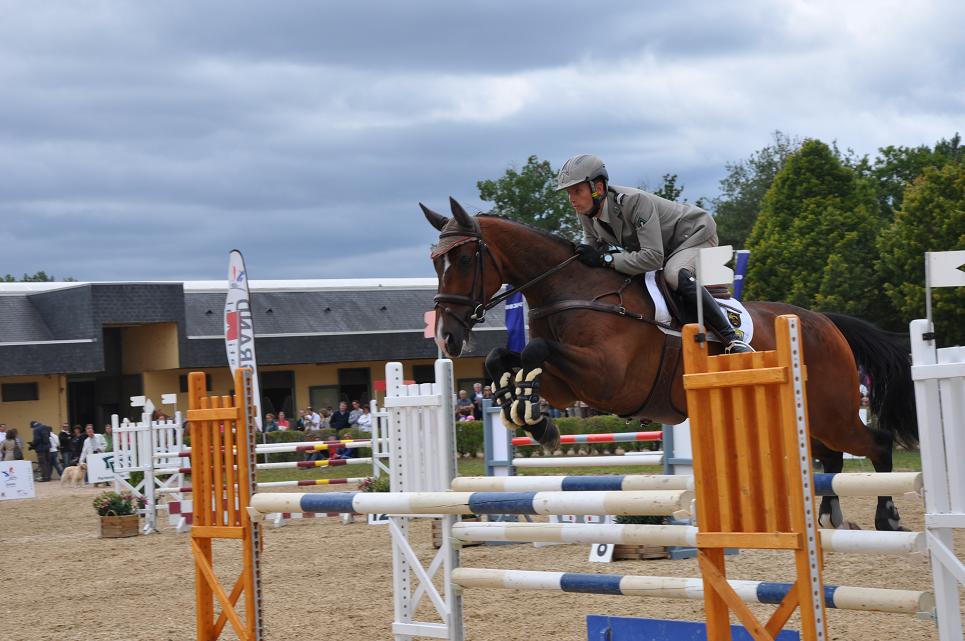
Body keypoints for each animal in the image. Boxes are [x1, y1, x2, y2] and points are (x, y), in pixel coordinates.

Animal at [424, 198, 920, 532]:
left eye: (464, 258)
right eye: (434, 261)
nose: (446, 337)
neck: (573, 290)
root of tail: (824, 321)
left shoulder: (608, 378)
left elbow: (535, 351)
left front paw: (532, 415)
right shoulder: (571, 386)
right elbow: (503, 359)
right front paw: (528, 412)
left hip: (834, 411)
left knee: (876, 444)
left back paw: (887, 517)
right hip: (808, 416)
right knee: (829, 457)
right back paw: (830, 516)